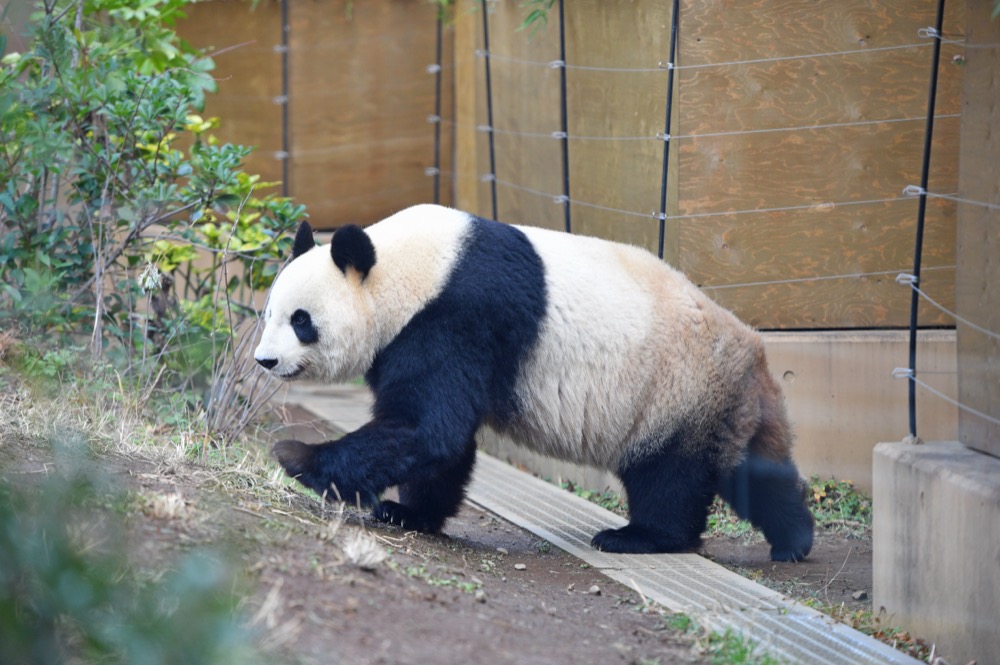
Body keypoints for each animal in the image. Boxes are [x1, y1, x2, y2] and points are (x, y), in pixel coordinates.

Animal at [254, 202, 816, 560]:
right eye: (269, 312)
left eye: (301, 320)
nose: (265, 361)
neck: (405, 267)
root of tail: (755, 352)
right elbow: (441, 440)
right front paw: (407, 513)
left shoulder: (455, 314)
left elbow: (427, 427)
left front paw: (296, 457)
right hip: (722, 402)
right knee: (754, 471)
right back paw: (794, 540)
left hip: (676, 390)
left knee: (668, 475)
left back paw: (638, 538)